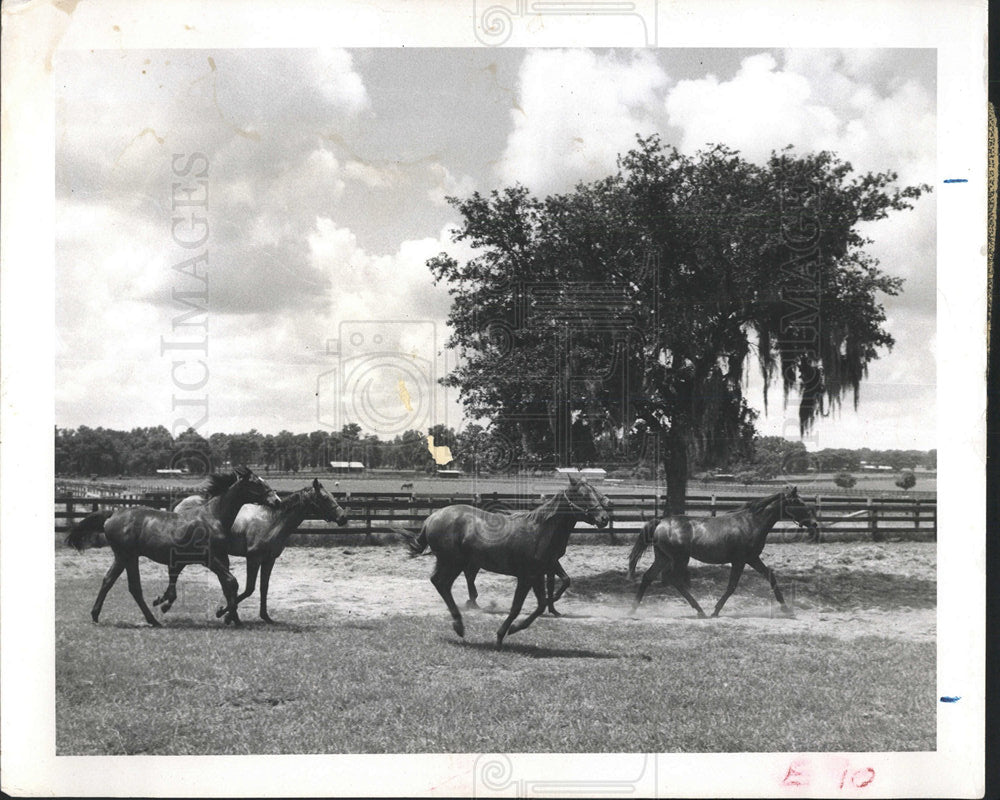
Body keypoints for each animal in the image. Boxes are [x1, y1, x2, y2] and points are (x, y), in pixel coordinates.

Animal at [62, 466, 282, 628]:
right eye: (256, 483)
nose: (277, 500)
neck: (212, 518)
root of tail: (112, 515)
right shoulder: (209, 558)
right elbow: (231, 582)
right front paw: (225, 614)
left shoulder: (209, 559)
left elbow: (224, 585)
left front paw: (230, 616)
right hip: (125, 555)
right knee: (127, 585)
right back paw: (147, 619)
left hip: (127, 557)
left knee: (117, 583)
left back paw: (106, 616)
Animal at [154, 478, 346, 620]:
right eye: (325, 498)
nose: (343, 517)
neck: (273, 521)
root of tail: (179, 505)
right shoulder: (253, 559)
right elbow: (249, 589)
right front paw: (223, 613)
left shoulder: (269, 560)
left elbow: (263, 587)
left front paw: (265, 616)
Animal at [404, 476, 608, 648]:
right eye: (583, 495)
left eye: (595, 490)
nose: (604, 518)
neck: (540, 530)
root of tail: (431, 518)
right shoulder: (526, 577)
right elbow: (517, 607)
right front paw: (502, 635)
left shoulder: (538, 574)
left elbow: (541, 604)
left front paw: (515, 628)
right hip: (453, 563)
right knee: (442, 583)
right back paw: (459, 625)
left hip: (453, 563)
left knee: (441, 583)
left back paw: (461, 622)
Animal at [628, 482, 816, 620]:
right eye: (799, 502)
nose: (814, 524)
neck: (751, 523)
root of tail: (661, 522)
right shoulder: (739, 560)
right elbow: (732, 586)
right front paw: (716, 611)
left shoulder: (752, 558)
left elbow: (770, 576)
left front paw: (787, 609)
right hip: (679, 558)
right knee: (674, 579)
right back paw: (700, 611)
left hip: (663, 557)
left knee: (648, 577)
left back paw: (633, 610)